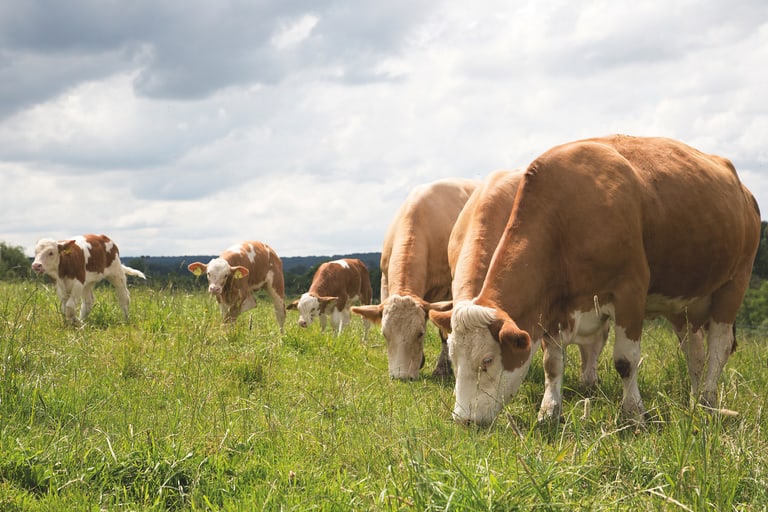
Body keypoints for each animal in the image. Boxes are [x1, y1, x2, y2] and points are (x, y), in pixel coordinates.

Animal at [352, 178, 476, 378]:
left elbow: (444, 331)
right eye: (385, 334)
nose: (401, 376)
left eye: (420, 334)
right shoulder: (385, 281)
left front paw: (442, 368)